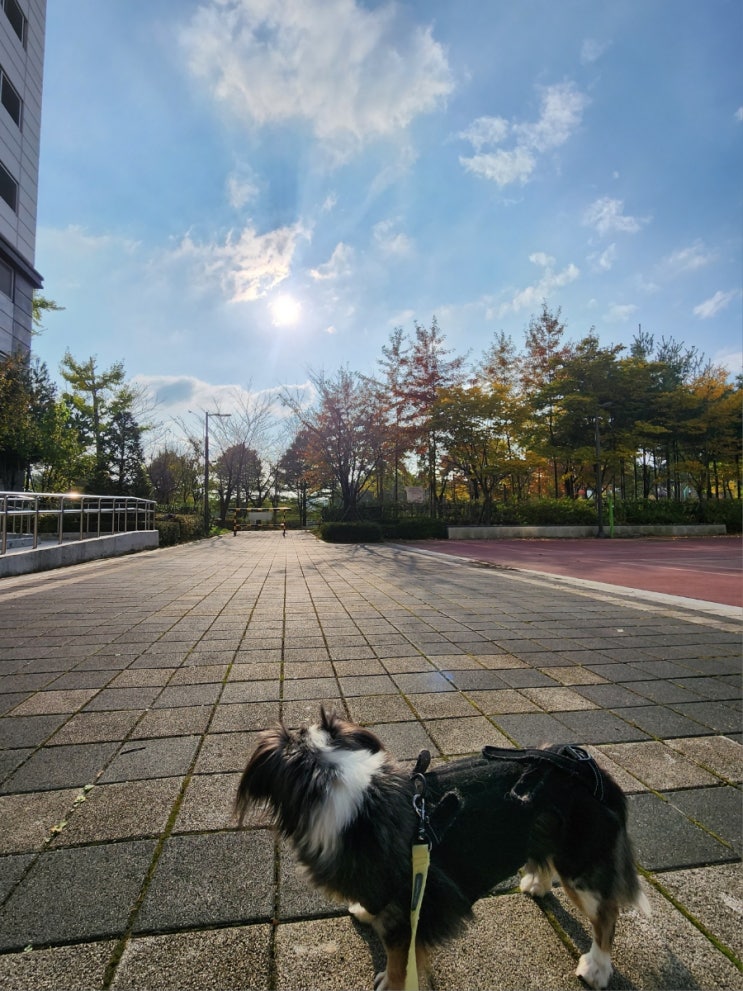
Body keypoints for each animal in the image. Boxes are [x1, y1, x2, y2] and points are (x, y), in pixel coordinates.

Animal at [236, 708, 649, 990]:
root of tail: (586, 764)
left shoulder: (416, 906)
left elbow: (400, 960)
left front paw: (392, 984)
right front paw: (364, 910)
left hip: (581, 865)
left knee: (606, 913)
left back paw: (596, 968)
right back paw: (536, 883)